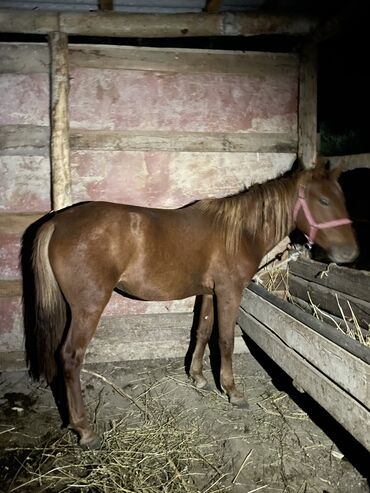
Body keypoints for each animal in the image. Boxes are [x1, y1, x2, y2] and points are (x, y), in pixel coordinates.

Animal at [22, 161, 358, 446]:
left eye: (342, 198)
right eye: (323, 201)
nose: (351, 254)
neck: (238, 231)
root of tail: (57, 223)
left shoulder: (208, 293)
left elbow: (202, 332)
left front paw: (198, 377)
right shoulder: (229, 292)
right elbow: (224, 340)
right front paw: (232, 391)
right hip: (88, 308)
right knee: (70, 357)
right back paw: (85, 429)